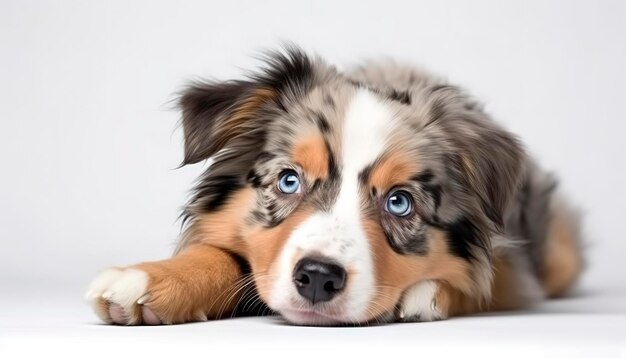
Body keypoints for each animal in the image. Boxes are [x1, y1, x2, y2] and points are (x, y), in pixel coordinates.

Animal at [83, 46, 580, 326]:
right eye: (289, 180)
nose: (319, 278)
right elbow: (222, 255)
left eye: (399, 203)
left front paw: (428, 293)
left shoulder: (514, 266)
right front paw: (145, 278)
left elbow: (482, 285)